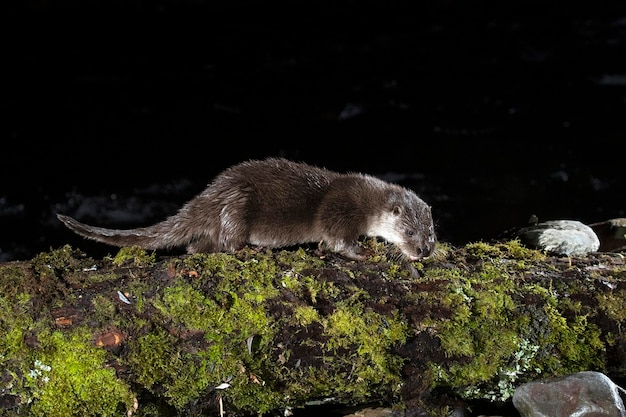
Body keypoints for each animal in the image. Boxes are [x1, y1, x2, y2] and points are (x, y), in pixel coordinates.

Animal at [56, 157, 434, 260]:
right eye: (409, 231)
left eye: (432, 232)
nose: (424, 252)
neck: (368, 201)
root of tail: (209, 195)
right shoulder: (340, 210)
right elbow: (338, 241)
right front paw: (364, 253)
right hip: (237, 204)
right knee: (227, 242)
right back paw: (249, 249)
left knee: (196, 246)